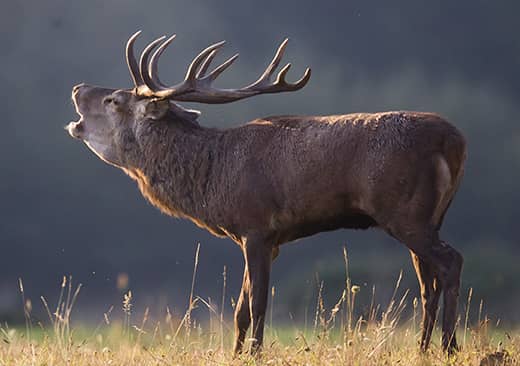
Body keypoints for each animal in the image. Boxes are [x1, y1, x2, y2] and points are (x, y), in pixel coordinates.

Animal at [66, 31, 468, 354]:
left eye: (114, 101)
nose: (77, 88)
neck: (213, 180)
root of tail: (455, 141)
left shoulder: (256, 227)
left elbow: (257, 304)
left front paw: (256, 354)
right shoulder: (263, 239)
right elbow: (240, 310)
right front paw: (235, 355)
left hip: (405, 212)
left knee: (451, 262)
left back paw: (449, 346)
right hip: (428, 217)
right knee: (427, 282)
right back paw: (422, 349)